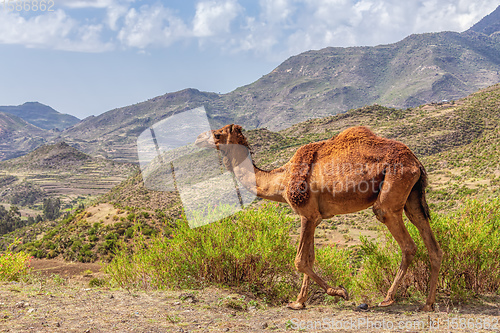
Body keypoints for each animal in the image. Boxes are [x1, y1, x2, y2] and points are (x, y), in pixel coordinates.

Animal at [193, 123, 444, 310]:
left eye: (217, 133)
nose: (197, 138)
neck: (281, 180)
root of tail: (416, 161)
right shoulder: (316, 217)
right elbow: (310, 258)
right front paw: (299, 302)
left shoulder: (306, 214)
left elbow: (300, 260)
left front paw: (339, 292)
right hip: (413, 197)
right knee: (432, 244)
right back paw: (428, 304)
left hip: (391, 194)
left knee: (407, 243)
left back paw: (388, 298)